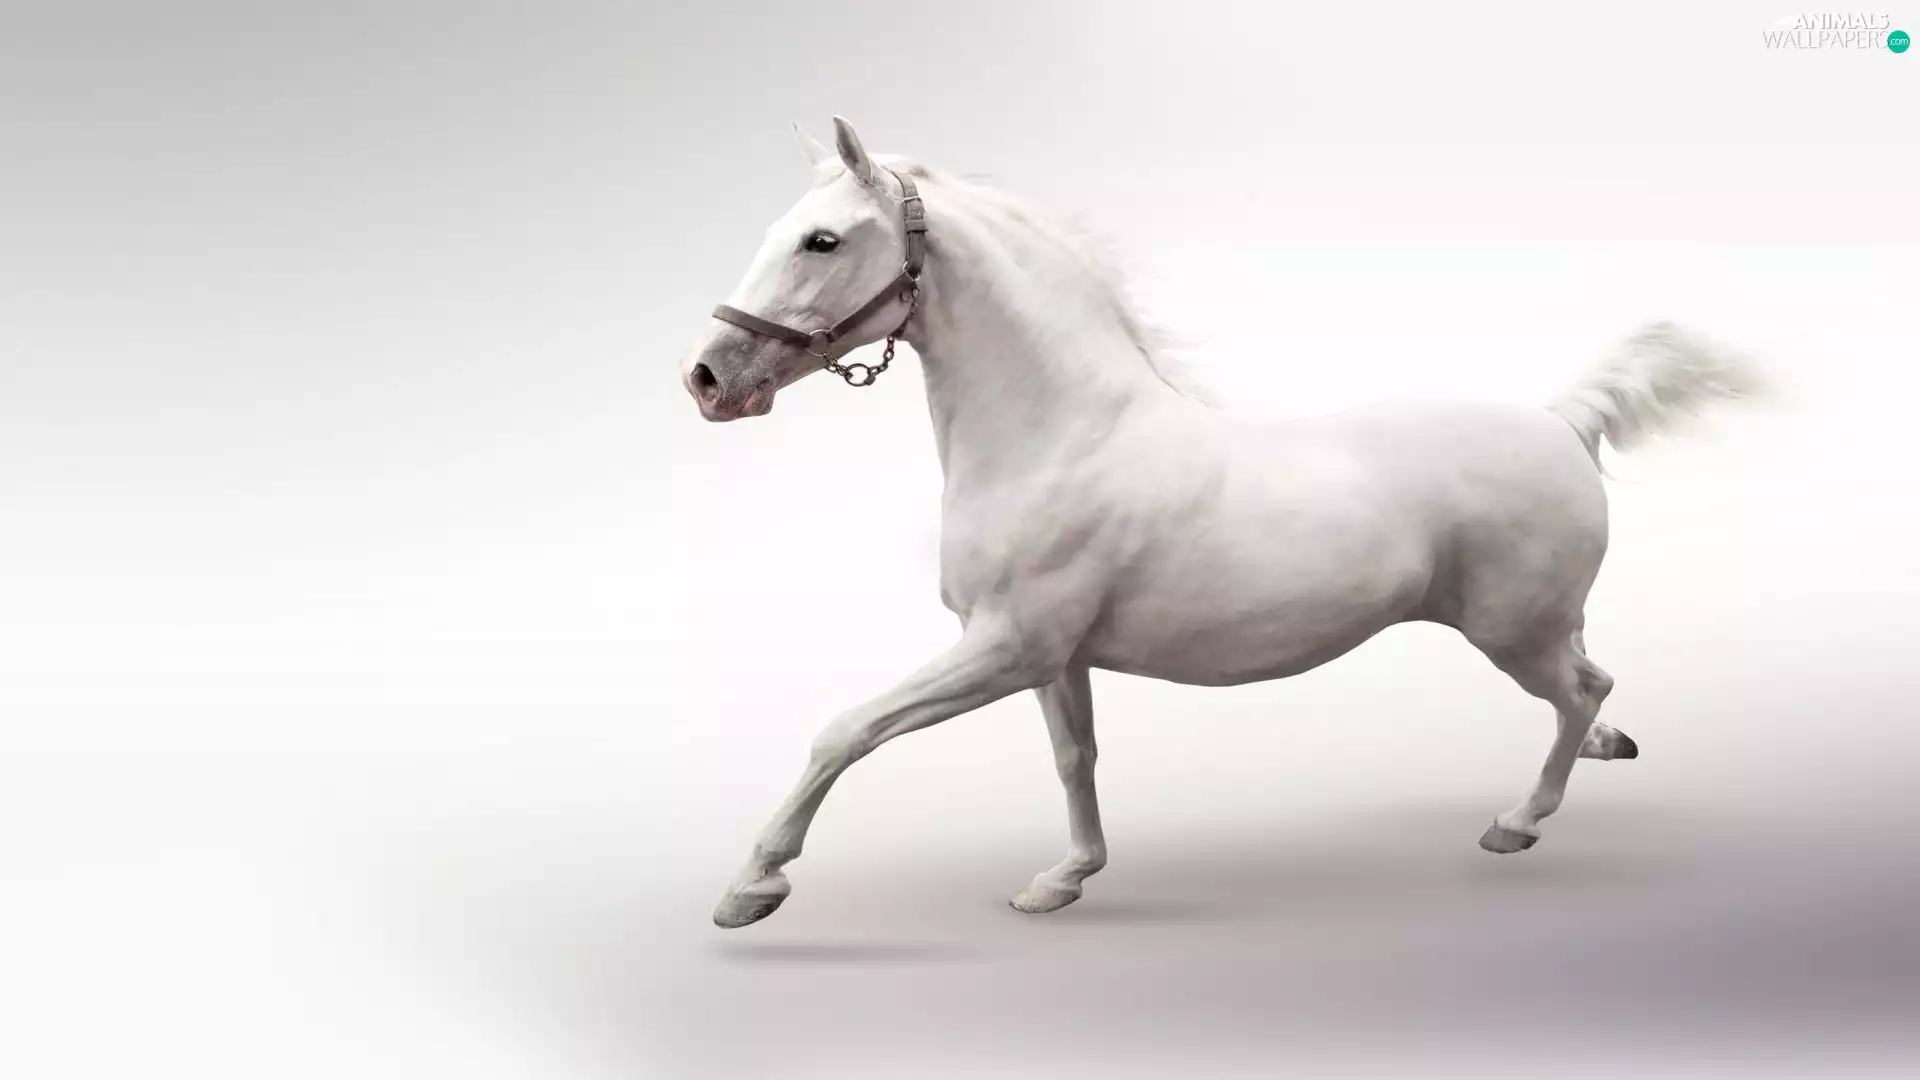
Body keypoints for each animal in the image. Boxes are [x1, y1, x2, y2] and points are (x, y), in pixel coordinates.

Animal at [679, 116, 1766, 929]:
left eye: (822, 240)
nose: (709, 380)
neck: (1059, 434)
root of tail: (1561, 418)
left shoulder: (1003, 647)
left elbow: (845, 731)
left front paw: (752, 886)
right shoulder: (1052, 658)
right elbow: (1074, 759)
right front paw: (1063, 880)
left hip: (1514, 633)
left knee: (1580, 690)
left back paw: (1518, 822)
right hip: (1539, 622)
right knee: (1592, 686)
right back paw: (1602, 754)